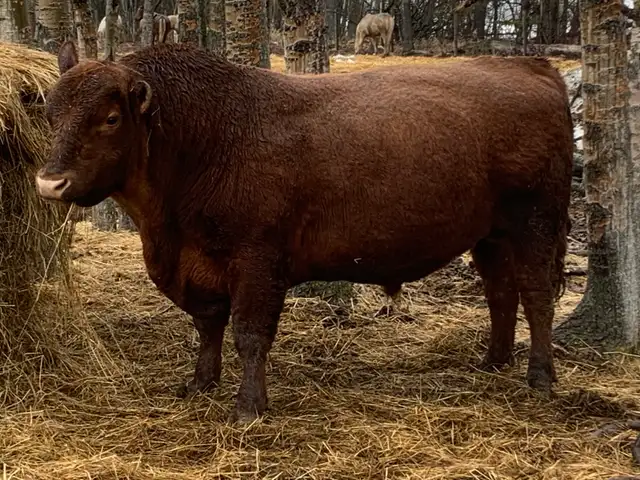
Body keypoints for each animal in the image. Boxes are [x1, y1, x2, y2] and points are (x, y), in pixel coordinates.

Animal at [36, 41, 573, 424]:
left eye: (110, 118)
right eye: (51, 113)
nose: (49, 183)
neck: (207, 135)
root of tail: (534, 68)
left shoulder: (256, 264)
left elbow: (250, 334)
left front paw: (248, 408)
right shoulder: (198, 268)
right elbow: (208, 326)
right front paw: (198, 385)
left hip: (533, 227)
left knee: (536, 296)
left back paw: (539, 377)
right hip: (490, 237)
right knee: (500, 294)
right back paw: (492, 362)